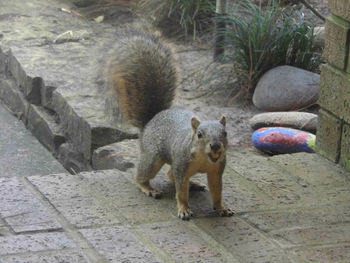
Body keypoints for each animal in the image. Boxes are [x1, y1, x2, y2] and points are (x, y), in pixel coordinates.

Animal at [105, 30, 234, 221]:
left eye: (225, 133)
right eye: (199, 134)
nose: (216, 146)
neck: (204, 159)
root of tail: (151, 120)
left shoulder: (216, 171)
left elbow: (217, 191)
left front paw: (221, 208)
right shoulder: (181, 166)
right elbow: (181, 192)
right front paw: (184, 209)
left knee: (169, 174)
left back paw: (193, 184)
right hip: (153, 157)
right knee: (142, 175)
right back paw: (149, 188)